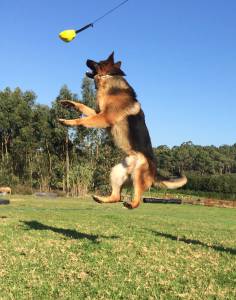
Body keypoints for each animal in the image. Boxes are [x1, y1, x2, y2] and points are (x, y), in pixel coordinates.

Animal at [58, 51, 186, 209]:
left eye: (97, 62)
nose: (86, 59)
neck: (109, 79)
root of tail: (154, 172)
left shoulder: (104, 118)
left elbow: (81, 120)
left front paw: (67, 122)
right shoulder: (98, 113)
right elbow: (81, 106)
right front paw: (68, 103)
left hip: (138, 174)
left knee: (136, 200)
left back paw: (130, 204)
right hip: (116, 173)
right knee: (116, 196)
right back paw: (101, 199)